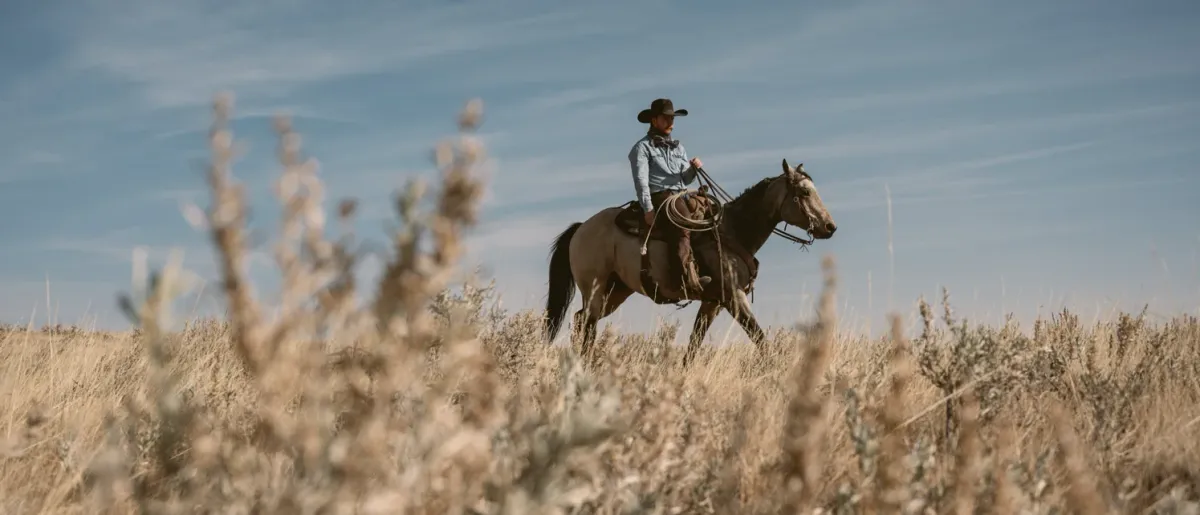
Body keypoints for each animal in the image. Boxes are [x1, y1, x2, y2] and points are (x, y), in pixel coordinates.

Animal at [542, 158, 835, 362]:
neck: (734, 230)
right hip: (596, 288)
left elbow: (694, 345)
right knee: (586, 325)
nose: (830, 227)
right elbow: (759, 337)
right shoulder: (733, 297)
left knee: (580, 320)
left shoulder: (712, 303)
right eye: (805, 193)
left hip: (615, 292)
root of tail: (581, 228)